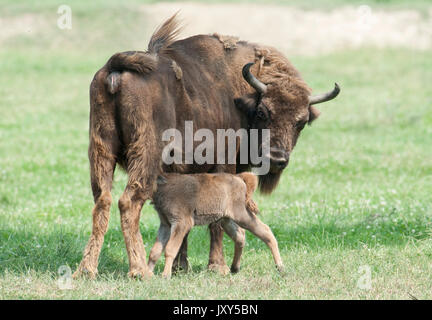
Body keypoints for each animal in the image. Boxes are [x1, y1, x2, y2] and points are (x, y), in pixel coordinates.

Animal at [148, 171, 284, 278]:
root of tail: (239, 178)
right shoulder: (165, 224)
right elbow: (155, 251)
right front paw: (148, 274)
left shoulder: (181, 223)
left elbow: (170, 249)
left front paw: (165, 275)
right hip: (226, 219)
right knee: (240, 235)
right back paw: (234, 268)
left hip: (242, 216)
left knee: (265, 231)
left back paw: (280, 267)